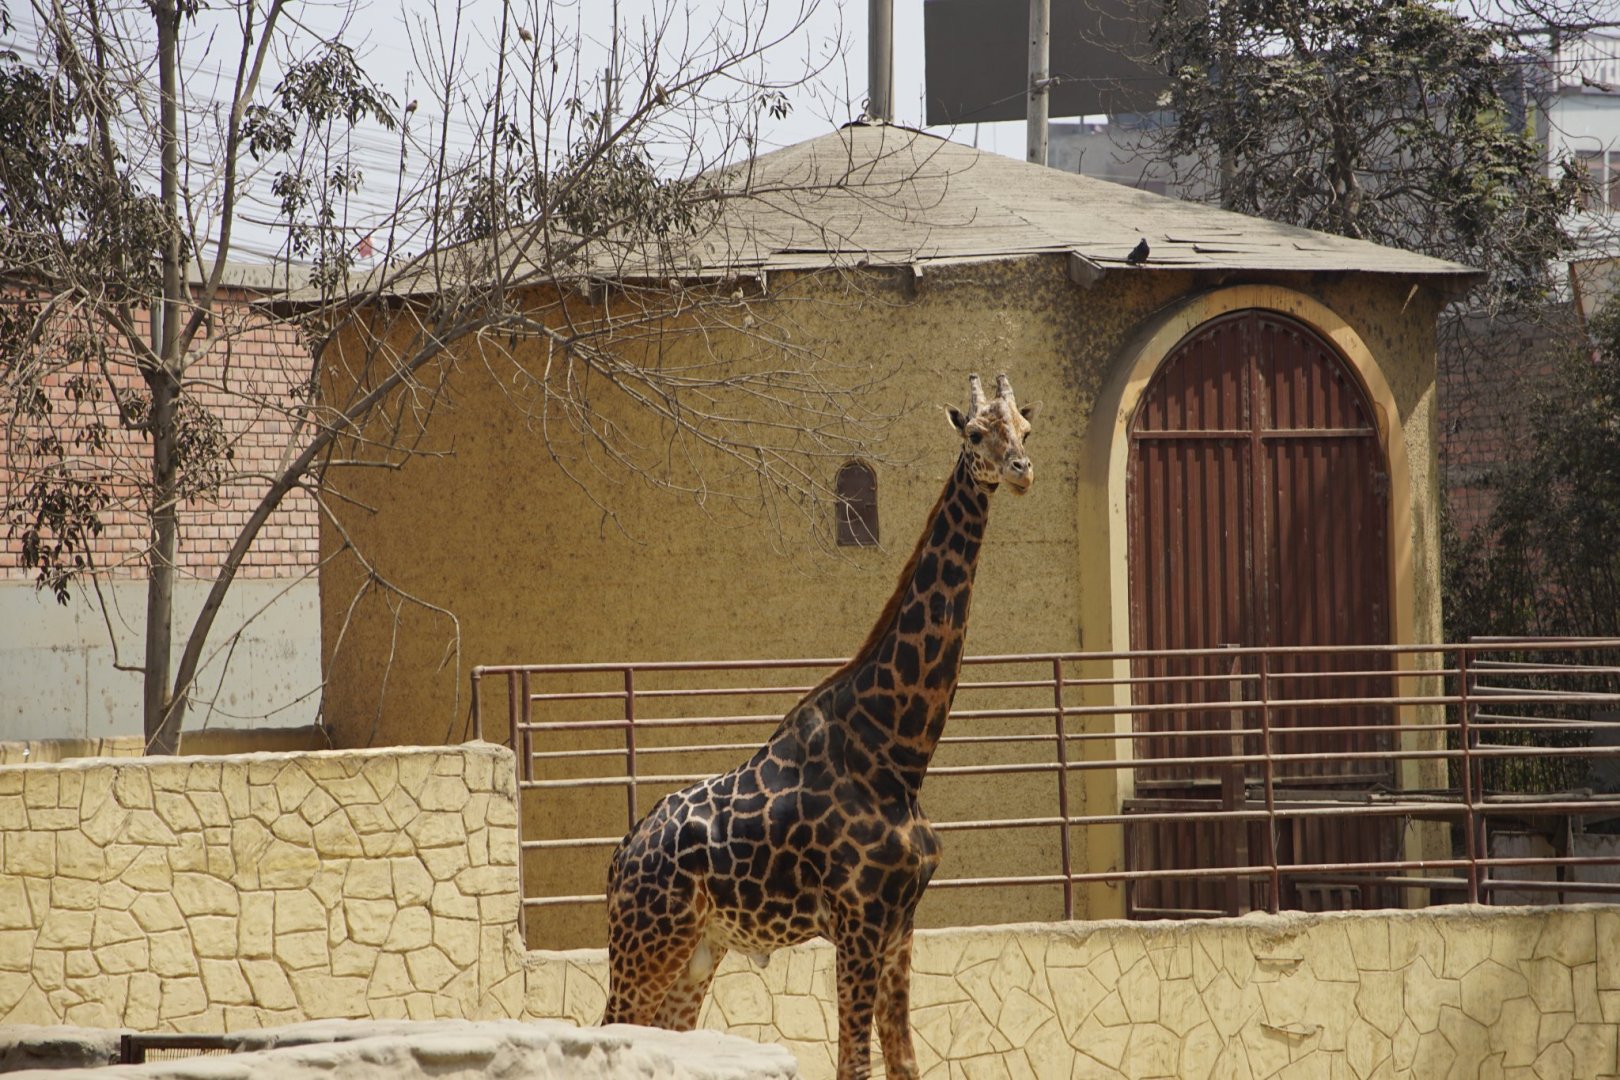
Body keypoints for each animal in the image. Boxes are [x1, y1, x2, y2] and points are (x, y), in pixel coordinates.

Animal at [601, 373, 1038, 1080]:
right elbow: (854, 1064)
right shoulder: (858, 921)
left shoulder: (901, 922)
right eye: (976, 435)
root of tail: (620, 859)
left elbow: (905, 1061)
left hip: (699, 948)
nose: (1022, 470)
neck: (899, 749)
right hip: (646, 941)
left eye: (1025, 429)